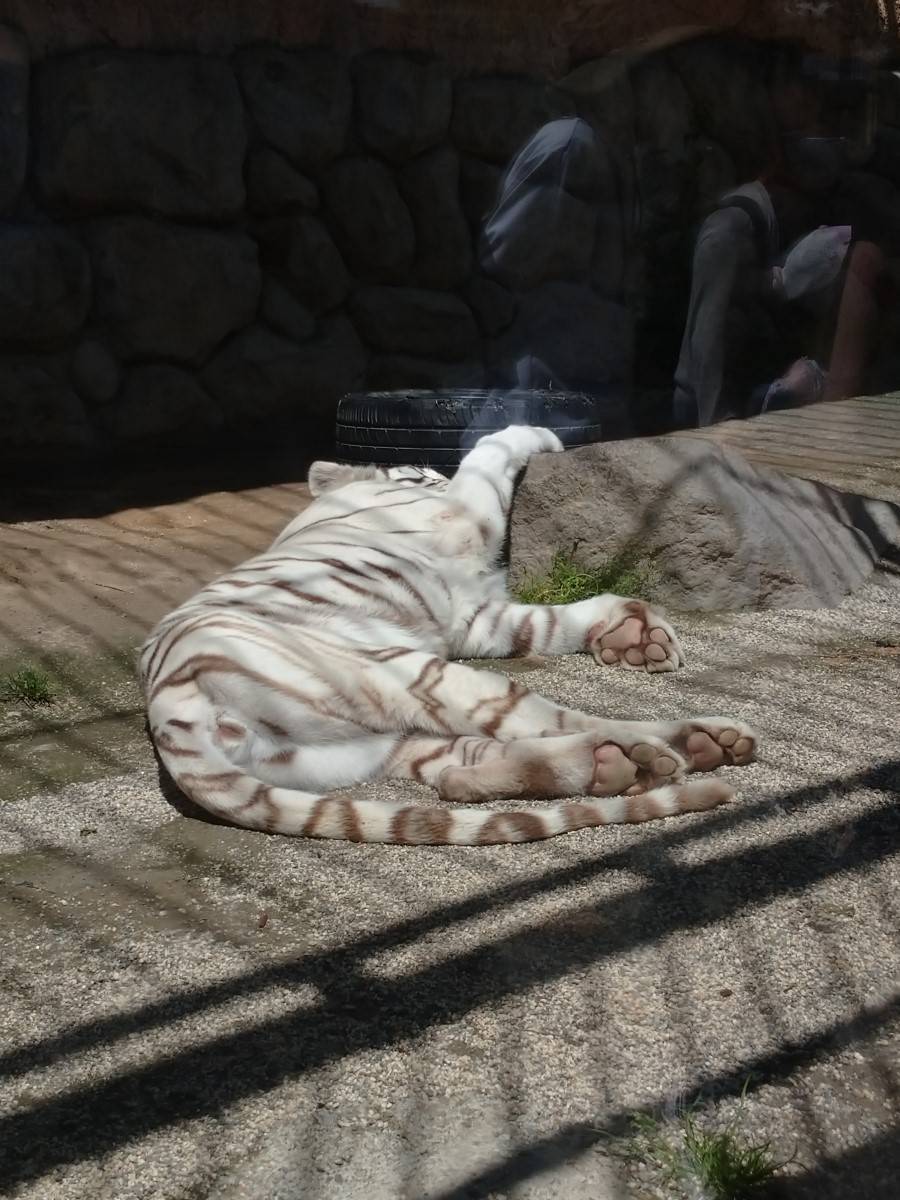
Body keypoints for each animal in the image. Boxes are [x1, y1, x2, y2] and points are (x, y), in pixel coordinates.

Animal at [141, 429, 758, 844]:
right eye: (422, 473)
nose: (433, 476)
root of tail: (169, 709)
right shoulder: (463, 517)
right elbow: (487, 451)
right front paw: (539, 434)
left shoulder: (475, 617)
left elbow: (551, 622)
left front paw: (633, 633)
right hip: (412, 672)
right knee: (561, 721)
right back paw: (678, 745)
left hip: (371, 746)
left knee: (466, 765)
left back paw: (635, 760)